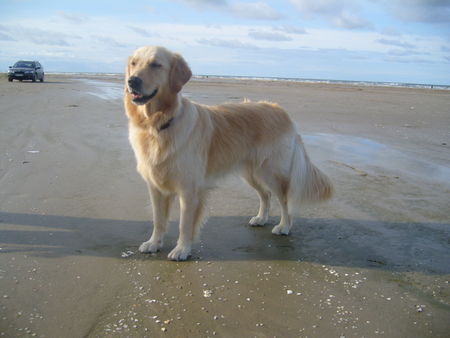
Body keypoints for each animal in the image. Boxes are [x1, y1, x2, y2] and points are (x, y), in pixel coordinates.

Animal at [125, 45, 332, 262]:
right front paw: (154, 243)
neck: (158, 125)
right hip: (252, 173)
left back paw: (284, 226)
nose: (132, 81)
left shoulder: (190, 190)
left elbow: (184, 224)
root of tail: (282, 111)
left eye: (156, 64)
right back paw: (261, 218)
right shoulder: (155, 187)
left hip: (271, 172)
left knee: (285, 199)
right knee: (265, 195)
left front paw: (182, 250)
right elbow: (158, 220)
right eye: (134, 63)